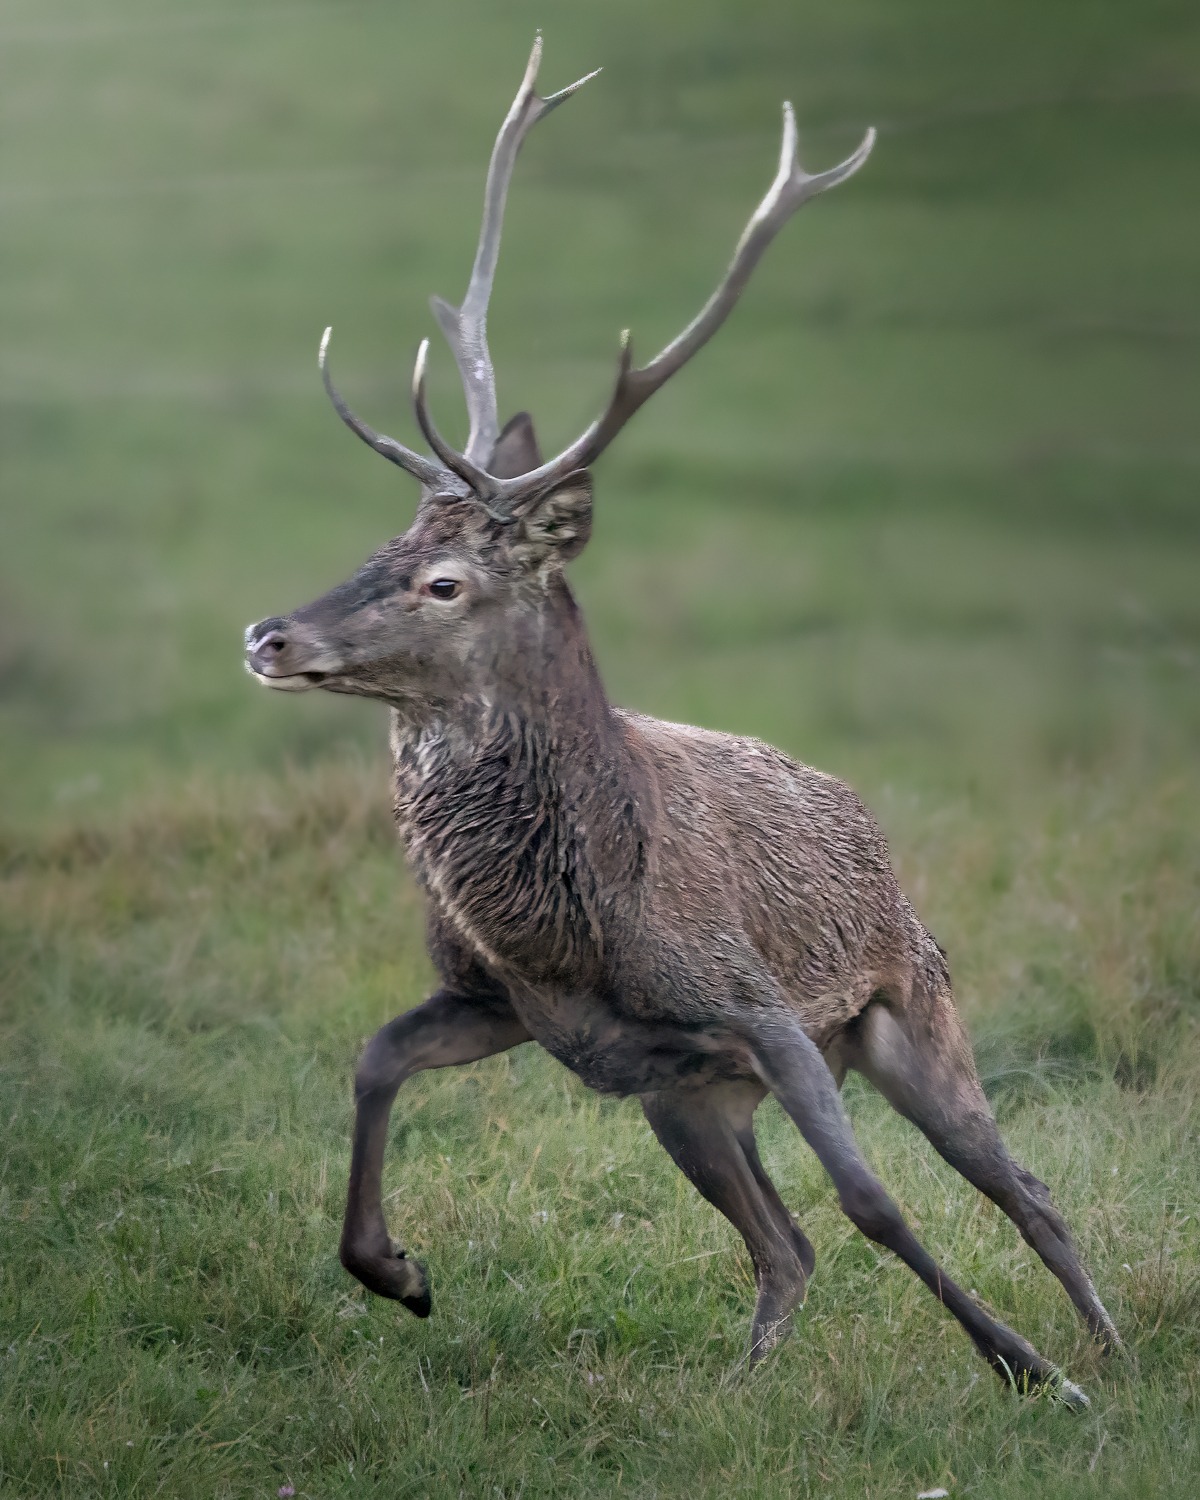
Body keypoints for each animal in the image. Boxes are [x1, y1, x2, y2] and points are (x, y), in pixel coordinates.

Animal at [244, 38, 1118, 1402]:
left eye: (446, 582)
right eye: (380, 543)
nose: (270, 637)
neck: (576, 918)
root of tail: (873, 831)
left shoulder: (761, 1009)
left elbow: (876, 1203)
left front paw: (1034, 1371)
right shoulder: (514, 1006)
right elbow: (374, 1053)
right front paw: (398, 1271)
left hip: (908, 1009)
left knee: (1016, 1186)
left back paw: (1108, 1347)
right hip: (691, 1105)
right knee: (782, 1244)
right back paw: (748, 1383)